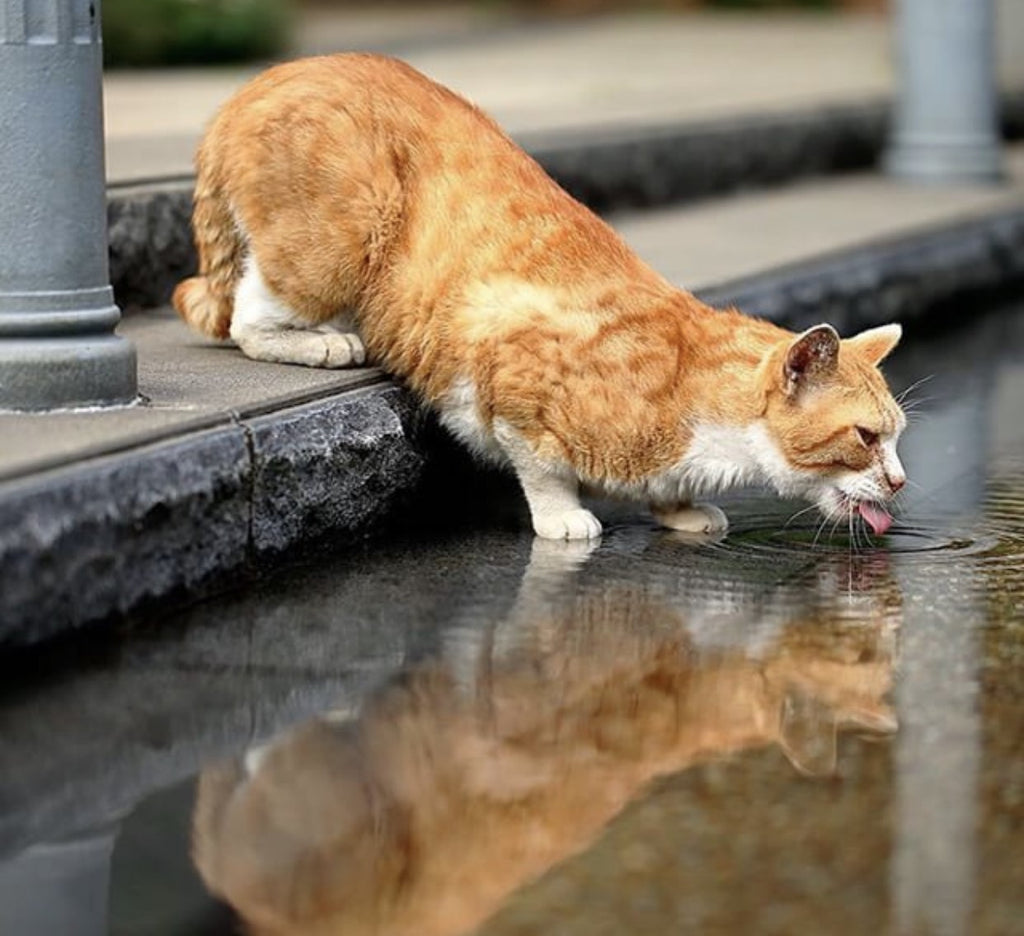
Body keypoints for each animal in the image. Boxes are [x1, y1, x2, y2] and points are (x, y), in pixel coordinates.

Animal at [172, 54, 909, 540]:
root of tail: (258, 83)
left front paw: (680, 512)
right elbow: (542, 465)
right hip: (338, 242)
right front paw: (565, 517)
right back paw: (324, 342)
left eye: (898, 438)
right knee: (241, 315)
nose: (901, 482)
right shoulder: (510, 378)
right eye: (866, 437)